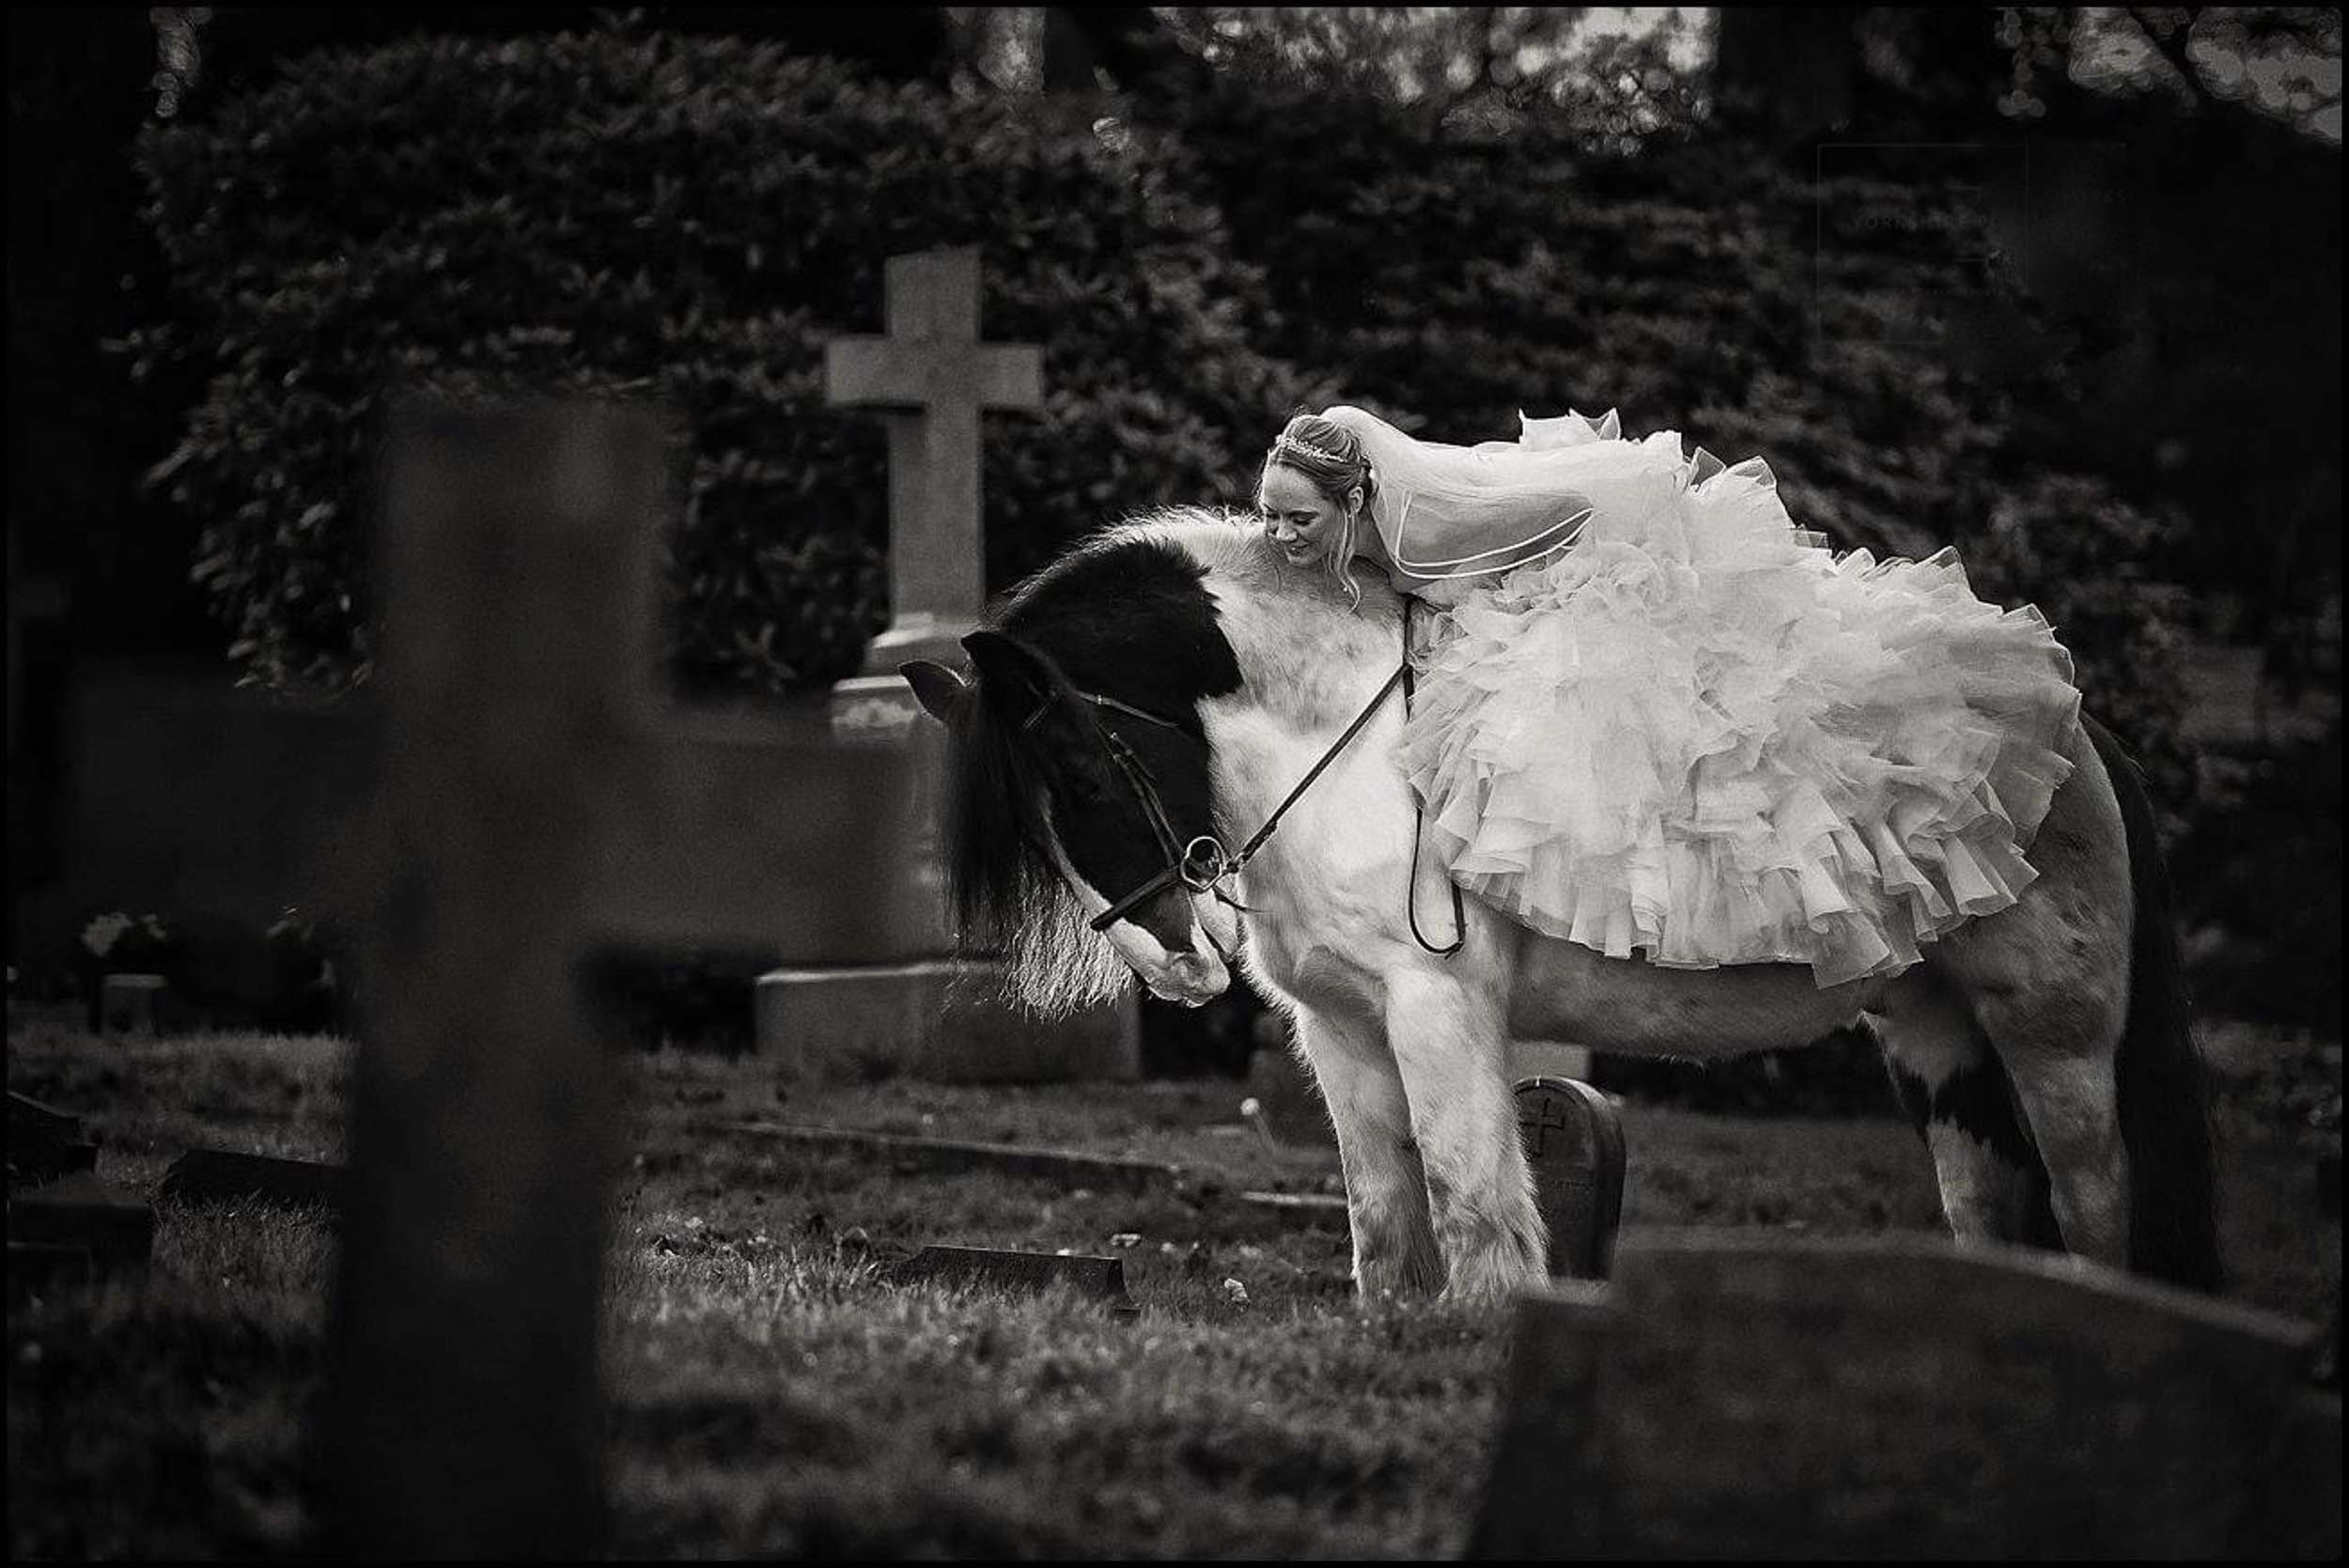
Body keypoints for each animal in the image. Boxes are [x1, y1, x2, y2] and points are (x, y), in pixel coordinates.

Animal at [899, 507, 2221, 1303]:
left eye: (1079, 768)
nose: (1174, 967)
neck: (1347, 747)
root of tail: (2077, 739)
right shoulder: (1343, 1033)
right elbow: (1383, 1218)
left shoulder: (1436, 1011)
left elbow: (1473, 1198)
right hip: (1938, 1045)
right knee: (1993, 1210)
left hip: (2054, 1043)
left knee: (2098, 1204)